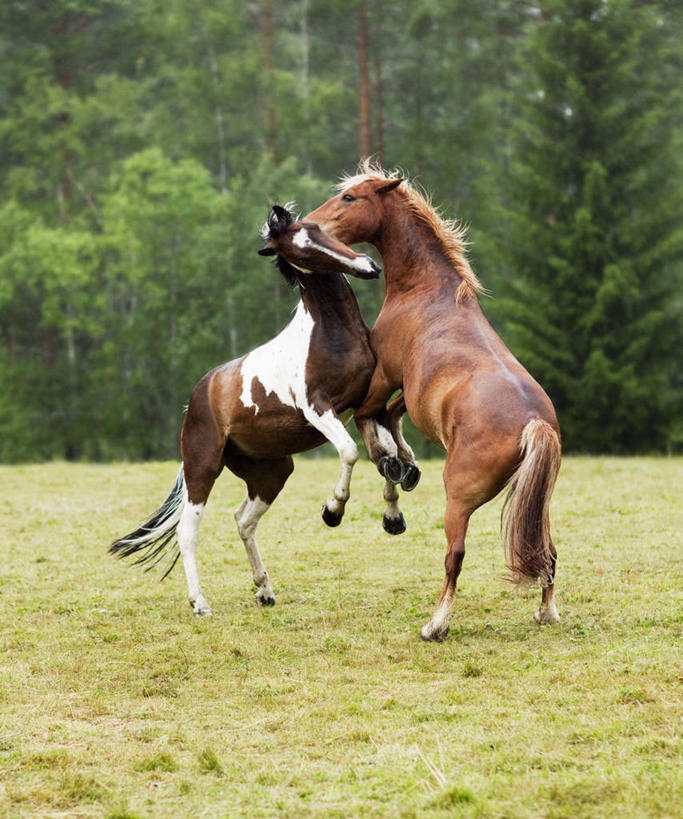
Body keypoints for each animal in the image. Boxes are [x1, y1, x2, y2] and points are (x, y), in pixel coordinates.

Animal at [109, 205, 382, 616]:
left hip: (271, 472)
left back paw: (264, 589)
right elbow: (350, 452)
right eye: (301, 254)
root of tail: (199, 395)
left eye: (318, 229)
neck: (331, 335)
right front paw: (332, 510)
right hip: (203, 468)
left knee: (242, 520)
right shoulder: (318, 409)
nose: (368, 266)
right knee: (187, 530)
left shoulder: (365, 400)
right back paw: (200, 602)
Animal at [308, 165, 564, 640]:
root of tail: (535, 426)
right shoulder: (410, 393)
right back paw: (547, 612)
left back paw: (436, 624)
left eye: (350, 198)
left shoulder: (384, 377)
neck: (426, 289)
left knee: (455, 555)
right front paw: (404, 464)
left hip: (458, 499)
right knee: (547, 550)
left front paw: (382, 480)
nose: (312, 224)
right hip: (538, 504)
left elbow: (368, 423)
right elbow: (390, 419)